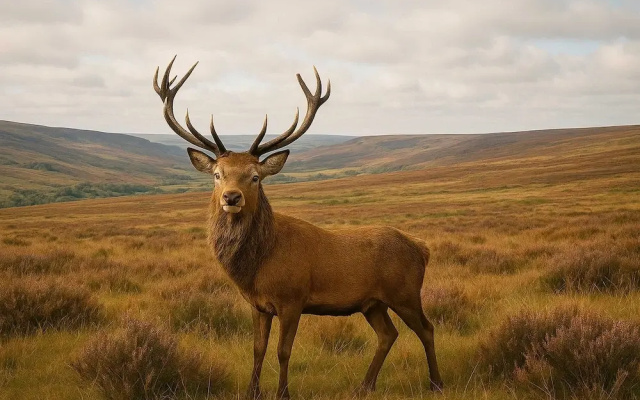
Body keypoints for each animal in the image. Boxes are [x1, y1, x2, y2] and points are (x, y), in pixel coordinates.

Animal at [153, 56, 443, 399]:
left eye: (255, 176)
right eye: (217, 174)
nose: (231, 197)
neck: (257, 267)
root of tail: (422, 247)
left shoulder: (293, 299)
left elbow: (283, 351)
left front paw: (283, 393)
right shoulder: (258, 305)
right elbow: (258, 349)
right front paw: (252, 391)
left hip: (405, 292)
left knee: (427, 328)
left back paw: (436, 383)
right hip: (373, 303)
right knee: (388, 334)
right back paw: (365, 385)